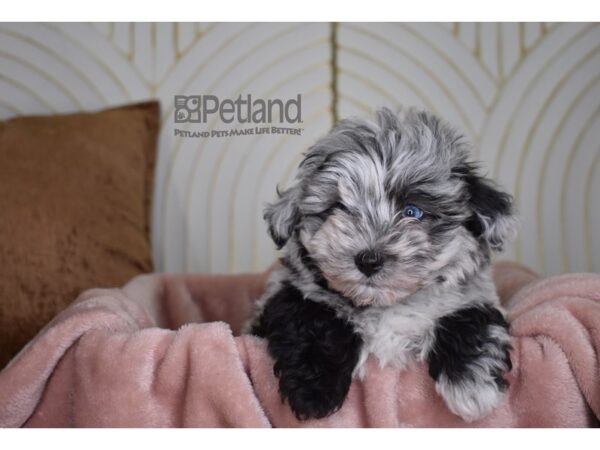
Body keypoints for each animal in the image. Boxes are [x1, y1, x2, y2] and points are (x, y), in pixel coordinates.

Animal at [246, 107, 516, 424]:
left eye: (412, 211)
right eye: (339, 207)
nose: (369, 260)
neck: (385, 305)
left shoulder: (475, 297)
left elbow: (468, 316)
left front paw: (472, 386)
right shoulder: (289, 295)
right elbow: (313, 319)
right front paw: (313, 391)